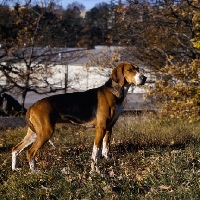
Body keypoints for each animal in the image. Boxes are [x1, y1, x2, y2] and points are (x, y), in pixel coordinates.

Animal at [12, 61, 147, 171]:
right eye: (130, 70)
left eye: (138, 69)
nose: (144, 78)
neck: (114, 92)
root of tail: (32, 106)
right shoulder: (101, 128)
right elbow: (96, 151)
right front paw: (94, 168)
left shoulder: (109, 128)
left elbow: (106, 148)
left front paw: (109, 161)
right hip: (45, 132)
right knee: (30, 152)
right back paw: (35, 171)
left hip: (34, 133)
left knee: (15, 149)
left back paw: (15, 169)